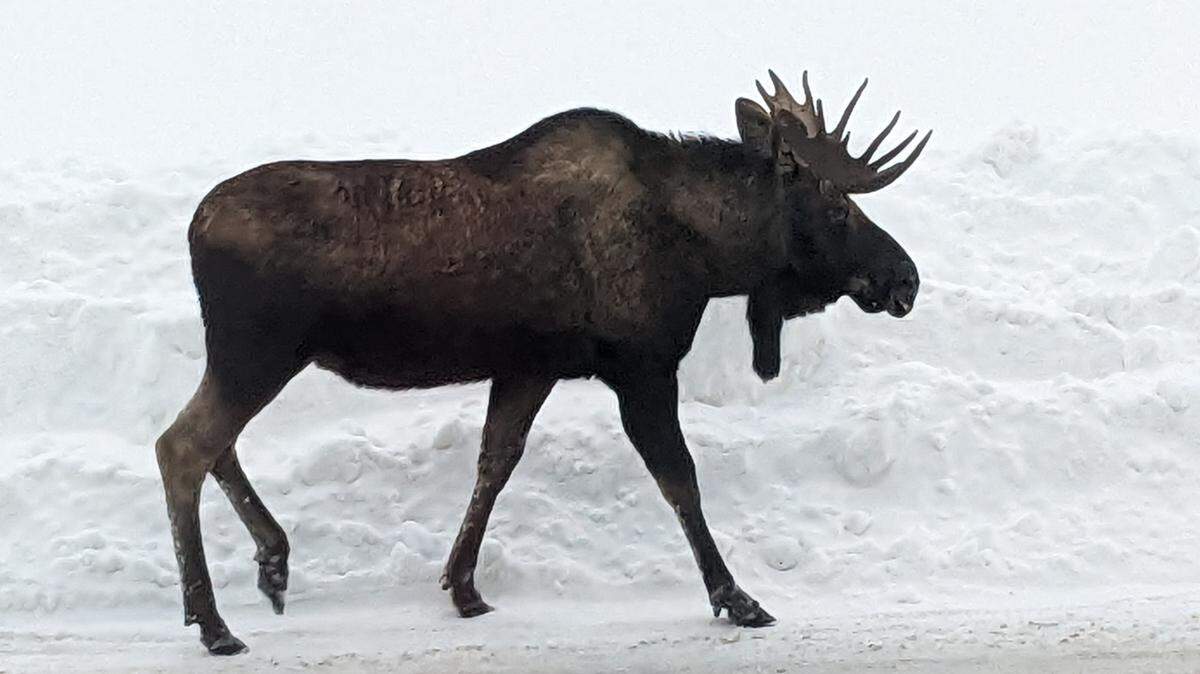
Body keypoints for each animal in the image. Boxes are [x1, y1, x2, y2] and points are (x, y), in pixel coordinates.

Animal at [155, 70, 930, 654]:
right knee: (182, 446)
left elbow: (495, 462)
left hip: (249, 358)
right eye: (837, 208)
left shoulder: (530, 366)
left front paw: (464, 587)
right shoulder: (641, 366)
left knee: (214, 445)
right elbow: (680, 481)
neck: (710, 258)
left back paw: (270, 564)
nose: (906, 279)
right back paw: (215, 622)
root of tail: (193, 227)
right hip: (257, 351)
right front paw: (737, 598)